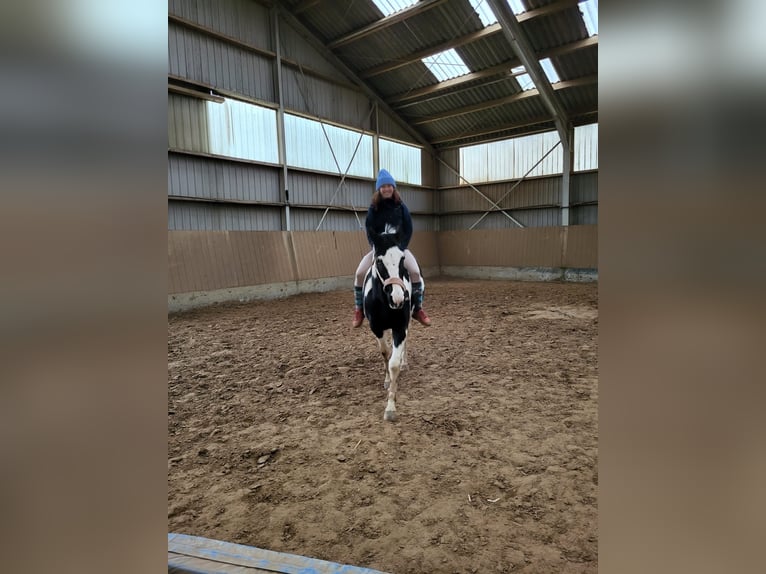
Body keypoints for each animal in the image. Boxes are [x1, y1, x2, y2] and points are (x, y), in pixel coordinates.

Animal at [362, 231, 421, 421]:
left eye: (402, 259)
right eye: (379, 261)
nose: (398, 298)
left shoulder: (400, 327)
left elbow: (393, 363)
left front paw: (390, 407)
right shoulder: (376, 328)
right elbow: (385, 353)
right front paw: (388, 381)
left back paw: (404, 363)